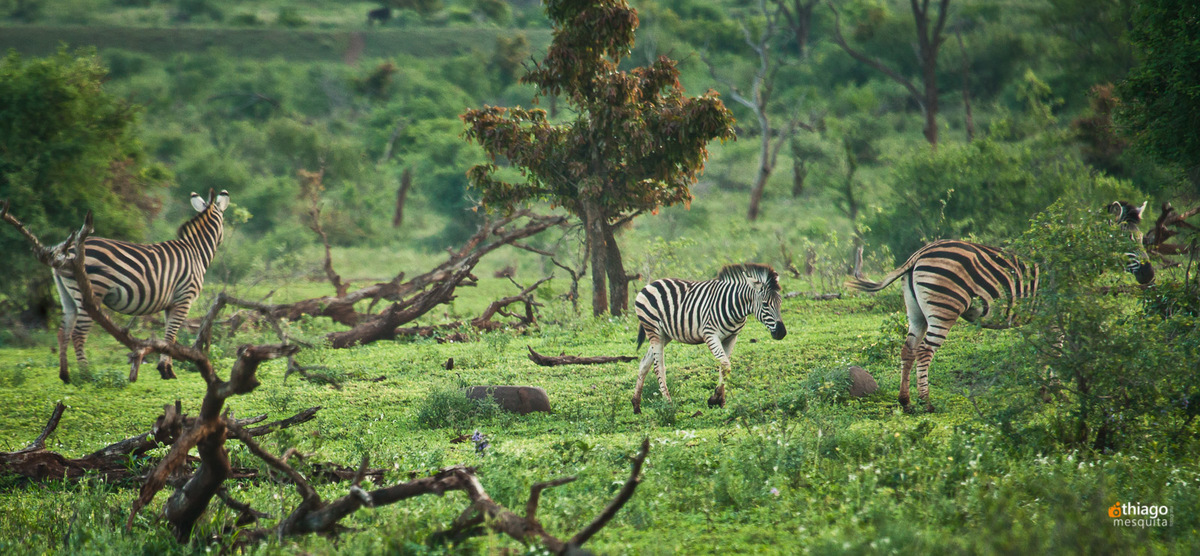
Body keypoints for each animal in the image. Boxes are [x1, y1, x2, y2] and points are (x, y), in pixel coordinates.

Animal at [53, 189, 230, 383]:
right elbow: (171, 336)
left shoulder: (171, 303)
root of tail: (69, 250)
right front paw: (165, 370)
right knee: (78, 334)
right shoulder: (185, 297)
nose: (223, 240)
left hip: (68, 294)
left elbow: (169, 337)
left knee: (63, 332)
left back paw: (65, 375)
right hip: (90, 293)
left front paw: (167, 369)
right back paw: (86, 375)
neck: (196, 251)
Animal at [631, 263, 787, 413]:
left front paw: (720, 401)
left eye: (780, 302)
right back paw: (668, 404)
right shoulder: (710, 334)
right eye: (765, 304)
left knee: (644, 363)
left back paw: (636, 405)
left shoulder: (731, 337)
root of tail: (651, 284)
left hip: (665, 334)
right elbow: (725, 365)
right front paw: (715, 399)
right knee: (658, 367)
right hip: (654, 330)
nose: (781, 333)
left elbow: (724, 366)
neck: (734, 305)